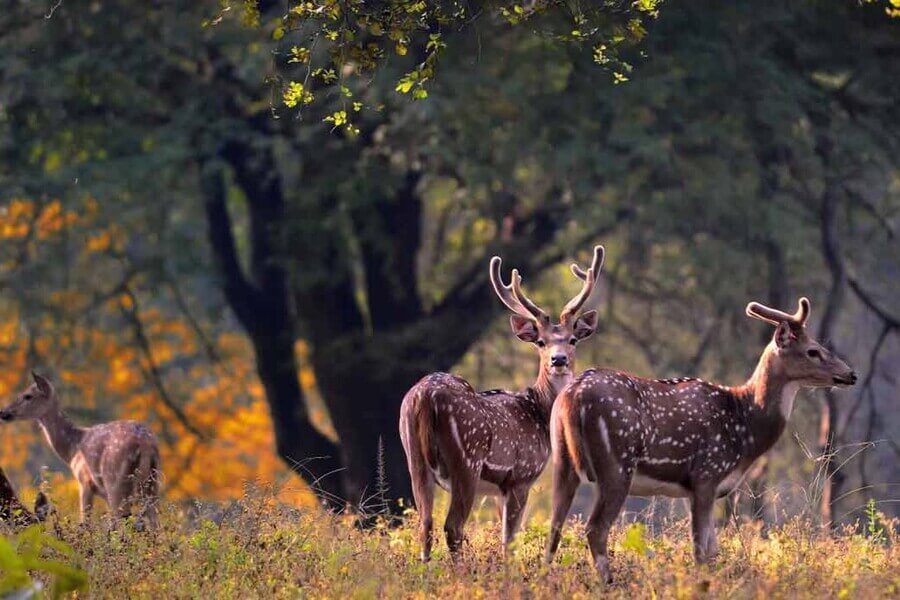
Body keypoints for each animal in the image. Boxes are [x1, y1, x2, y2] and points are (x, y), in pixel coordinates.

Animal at [0, 372, 160, 532]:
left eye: (28, 396)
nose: (3, 412)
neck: (72, 449)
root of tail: (145, 445)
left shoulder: (84, 481)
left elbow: (86, 523)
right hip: (152, 484)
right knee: (154, 524)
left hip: (116, 482)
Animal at [400, 245, 604, 564]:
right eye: (541, 342)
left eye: (573, 340)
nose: (558, 360)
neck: (538, 412)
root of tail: (424, 397)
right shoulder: (521, 476)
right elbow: (510, 540)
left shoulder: (499, 490)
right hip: (466, 462)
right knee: (452, 526)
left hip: (414, 459)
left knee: (425, 524)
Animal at [544, 296, 856, 580]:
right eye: (813, 350)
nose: (851, 374)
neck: (745, 428)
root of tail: (573, 396)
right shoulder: (707, 473)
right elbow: (701, 551)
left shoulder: (692, 488)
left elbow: (713, 549)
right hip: (616, 463)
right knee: (595, 528)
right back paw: (608, 582)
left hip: (562, 459)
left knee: (554, 525)